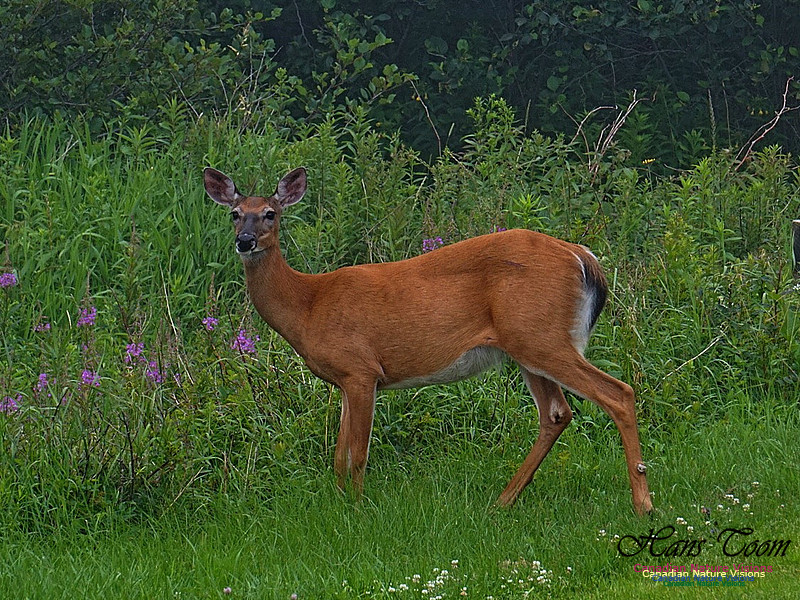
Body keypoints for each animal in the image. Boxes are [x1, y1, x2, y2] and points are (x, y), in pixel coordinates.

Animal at [204, 166, 653, 515]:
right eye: (234, 214)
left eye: (270, 214)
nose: (245, 241)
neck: (309, 304)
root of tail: (584, 256)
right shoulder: (346, 380)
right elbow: (337, 456)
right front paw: (340, 504)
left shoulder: (361, 369)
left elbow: (357, 454)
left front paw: (357, 509)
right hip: (528, 344)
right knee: (557, 413)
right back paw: (503, 500)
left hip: (541, 335)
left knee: (618, 393)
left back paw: (643, 504)